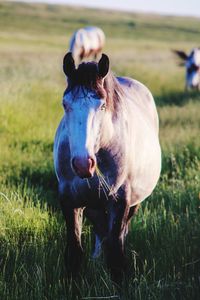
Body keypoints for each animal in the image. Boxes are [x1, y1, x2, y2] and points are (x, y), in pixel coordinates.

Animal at [54, 52, 162, 278]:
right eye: (65, 104)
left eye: (102, 106)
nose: (82, 164)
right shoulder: (69, 201)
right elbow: (75, 253)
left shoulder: (119, 202)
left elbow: (116, 257)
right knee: (100, 229)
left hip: (132, 204)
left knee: (119, 233)